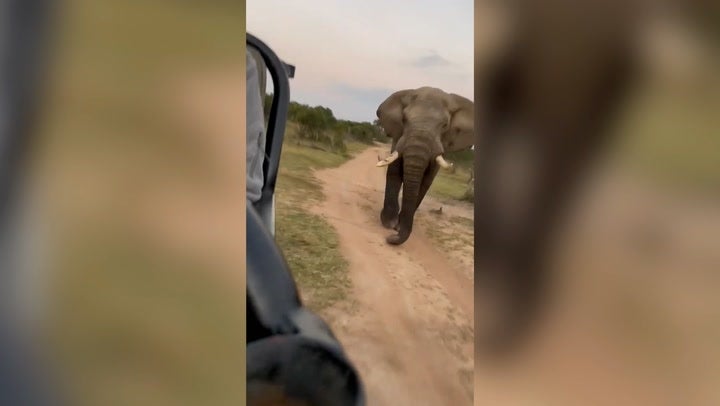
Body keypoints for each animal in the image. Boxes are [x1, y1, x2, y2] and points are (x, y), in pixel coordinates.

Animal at [374, 87, 474, 245]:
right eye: (404, 120)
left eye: (445, 125)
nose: (390, 238)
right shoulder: (399, 137)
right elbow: (394, 172)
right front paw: (389, 223)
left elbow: (425, 182)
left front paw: (398, 226)